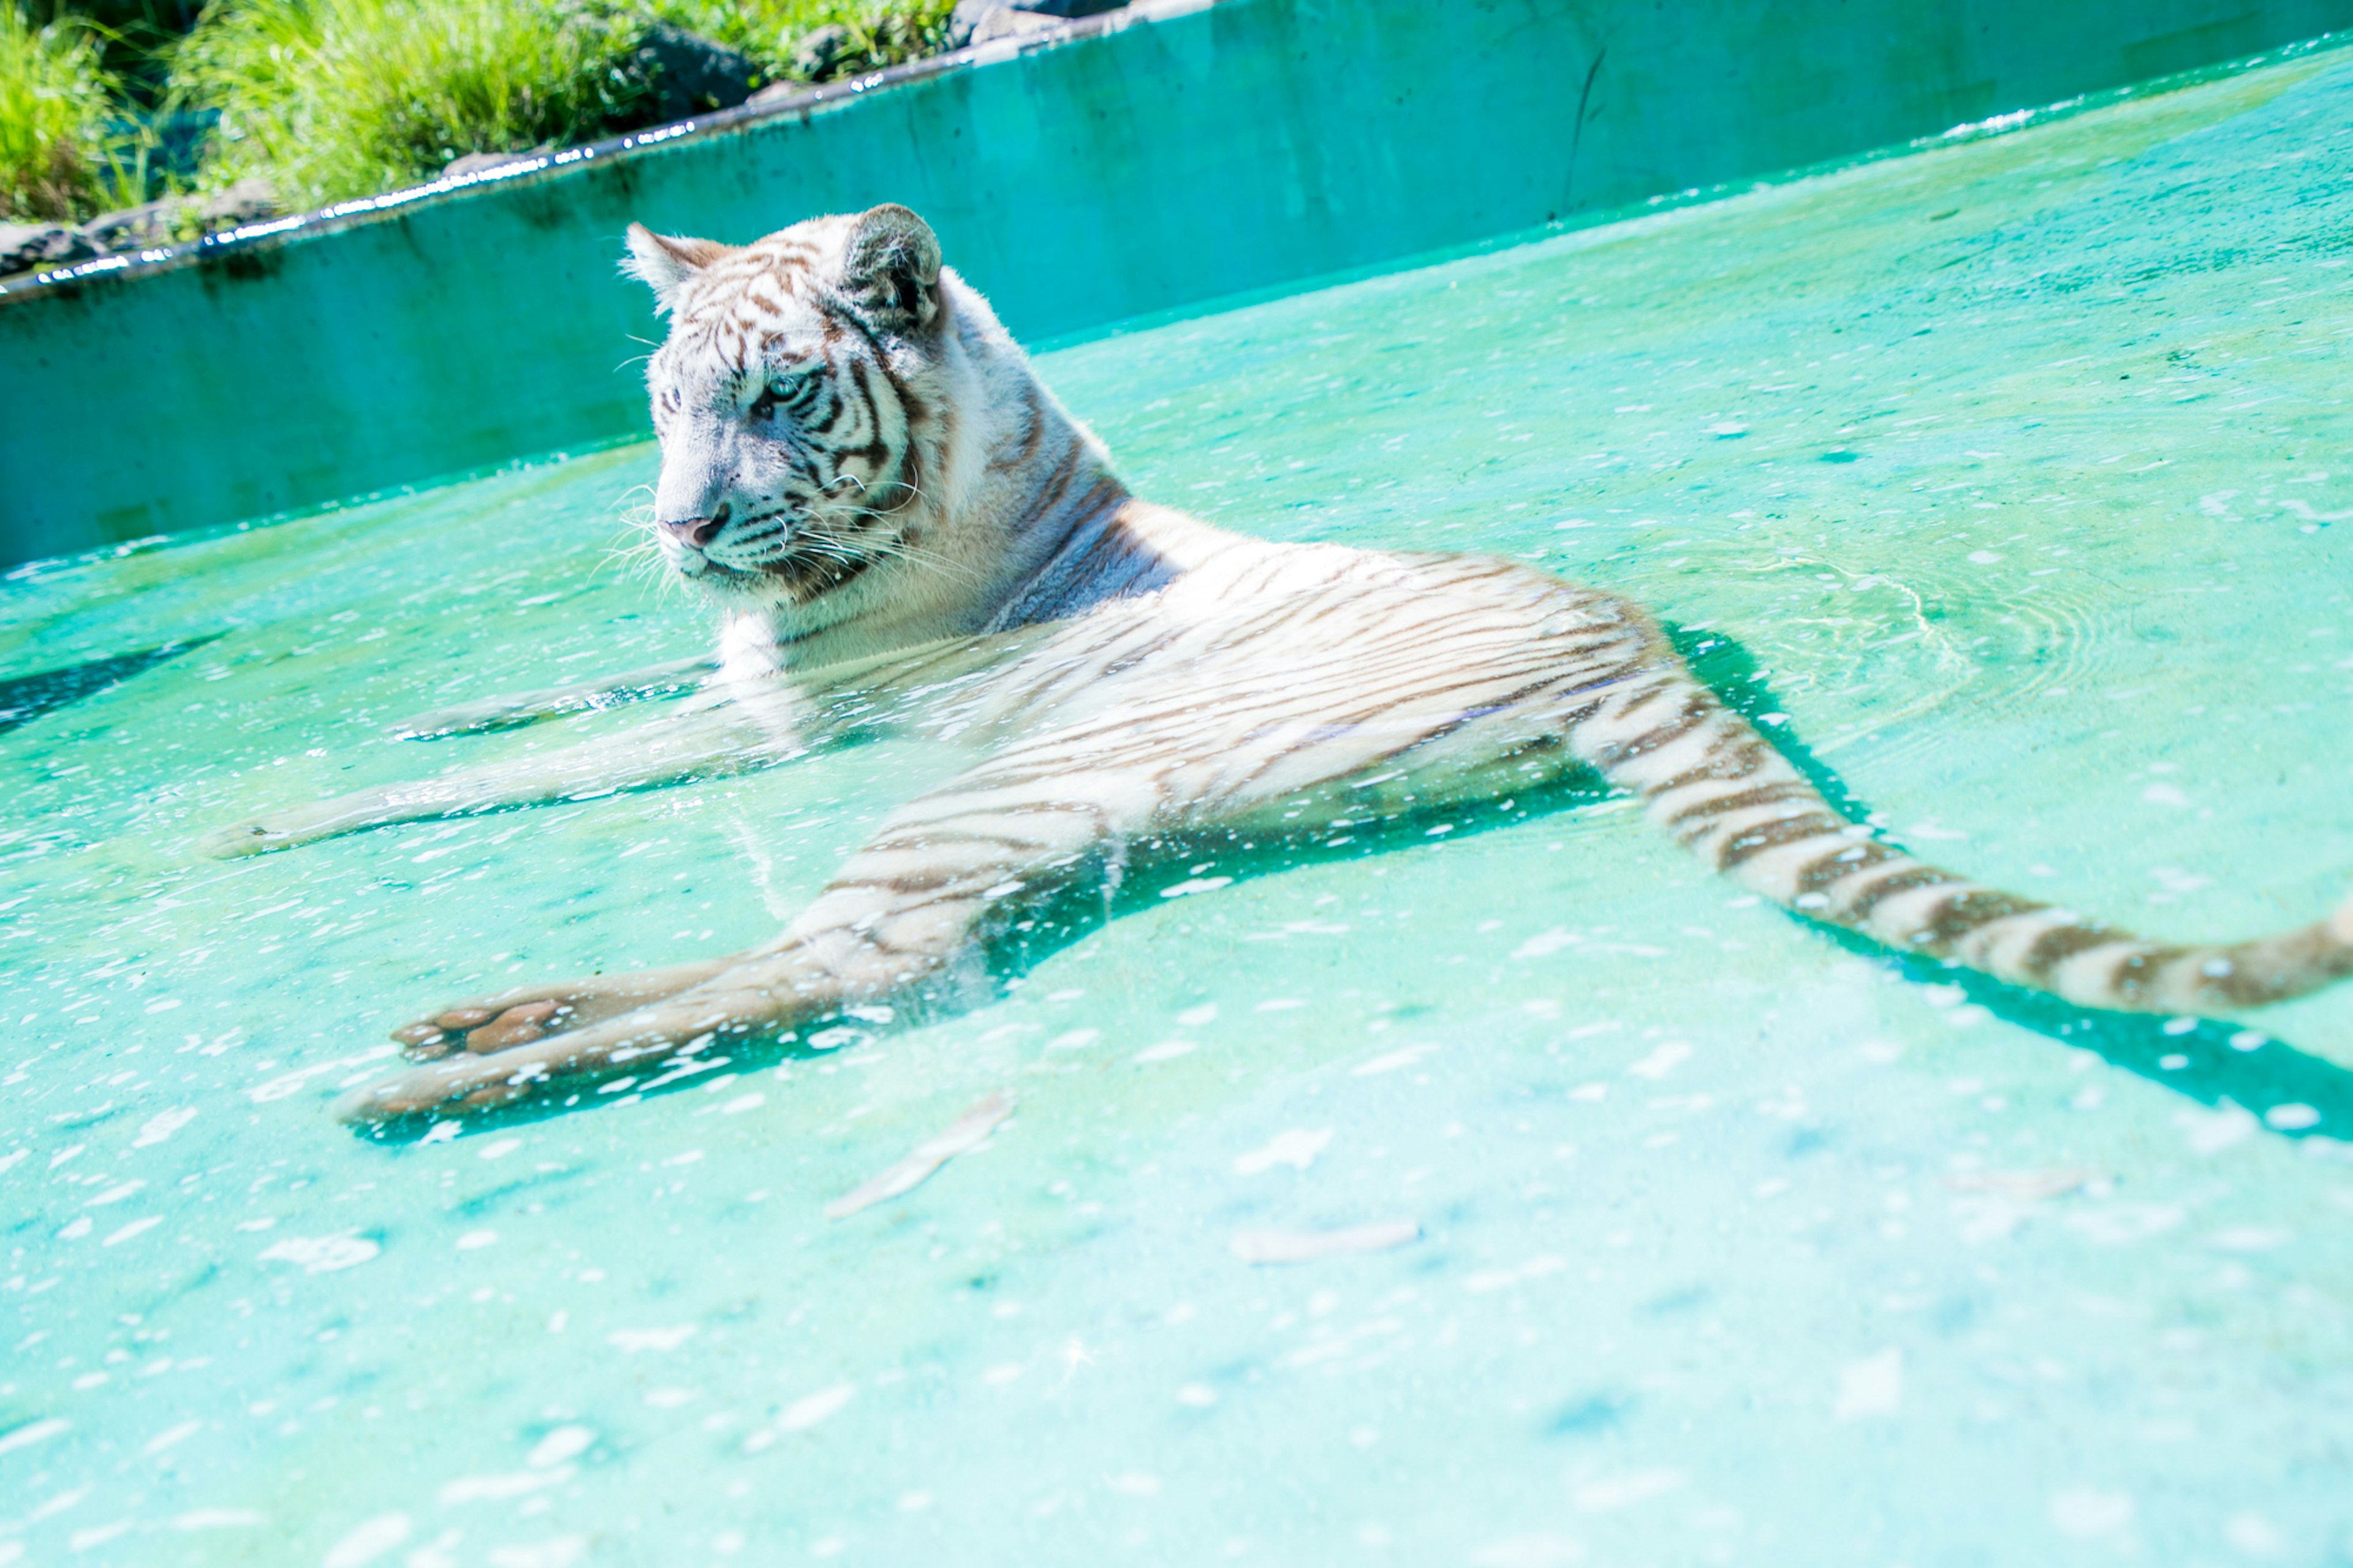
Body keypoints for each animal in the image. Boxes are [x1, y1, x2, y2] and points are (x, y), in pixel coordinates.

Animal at [207, 205, 2353, 1125]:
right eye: (662, 405)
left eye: (772, 396)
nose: (673, 529)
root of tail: (1635, 634)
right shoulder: (741, 676)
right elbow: (533, 709)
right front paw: (402, 723)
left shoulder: (791, 719)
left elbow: (503, 774)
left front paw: (247, 824)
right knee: (846, 965)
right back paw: (466, 1031)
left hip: (961, 800)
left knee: (855, 969)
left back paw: (433, 1079)